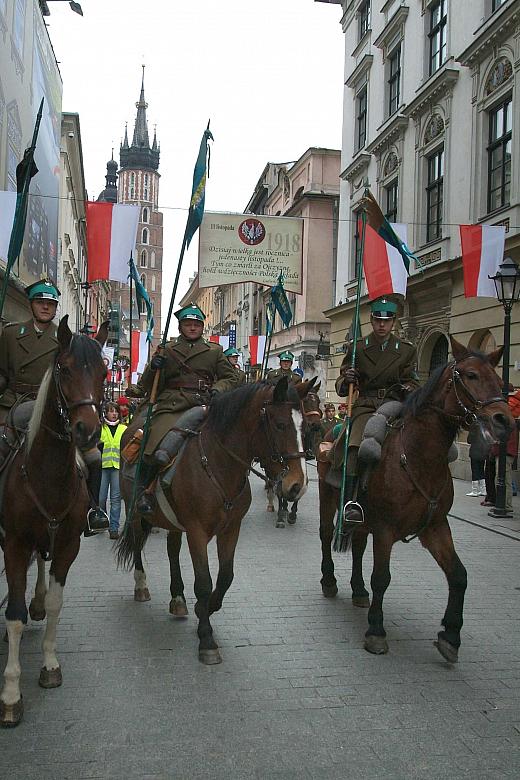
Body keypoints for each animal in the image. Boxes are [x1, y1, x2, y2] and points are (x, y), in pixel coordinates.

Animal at [0, 316, 107, 724]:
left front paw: (49, 665)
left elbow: (58, 602)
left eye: (105, 371)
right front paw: (11, 694)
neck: (46, 472)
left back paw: (38, 601)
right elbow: (13, 615)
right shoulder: (14, 544)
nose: (87, 431)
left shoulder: (68, 544)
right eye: (64, 368)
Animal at [116, 378, 314, 664]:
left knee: (172, 550)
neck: (219, 465)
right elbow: (204, 582)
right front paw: (206, 638)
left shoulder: (231, 530)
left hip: (173, 522)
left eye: (306, 427)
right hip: (133, 510)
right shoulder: (197, 532)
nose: (298, 485)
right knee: (137, 543)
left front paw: (205, 610)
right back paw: (141, 585)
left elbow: (225, 578)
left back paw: (178, 597)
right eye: (279, 424)